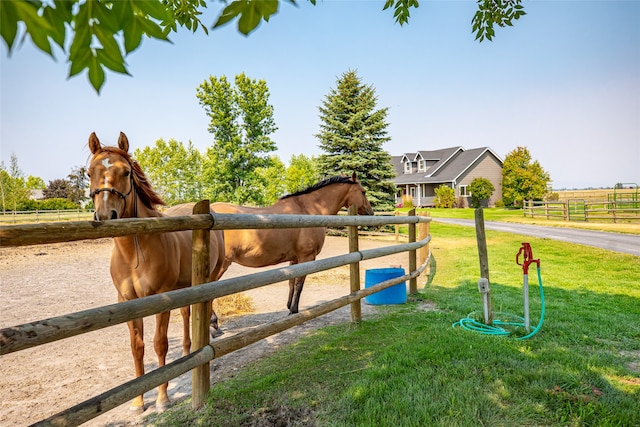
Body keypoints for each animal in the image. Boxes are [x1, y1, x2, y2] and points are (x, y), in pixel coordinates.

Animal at [86, 132, 224, 412]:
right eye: (89, 173)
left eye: (126, 172)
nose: (106, 215)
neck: (135, 254)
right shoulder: (128, 301)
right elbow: (136, 347)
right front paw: (138, 401)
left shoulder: (162, 298)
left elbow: (160, 344)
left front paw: (162, 398)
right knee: (187, 314)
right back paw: (187, 353)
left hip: (209, 279)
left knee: (204, 309)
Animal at [214, 172, 376, 316]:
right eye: (363, 192)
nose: (371, 213)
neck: (309, 210)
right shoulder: (306, 257)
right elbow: (299, 284)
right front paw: (294, 310)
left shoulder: (295, 258)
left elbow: (291, 282)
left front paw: (289, 307)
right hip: (220, 266)